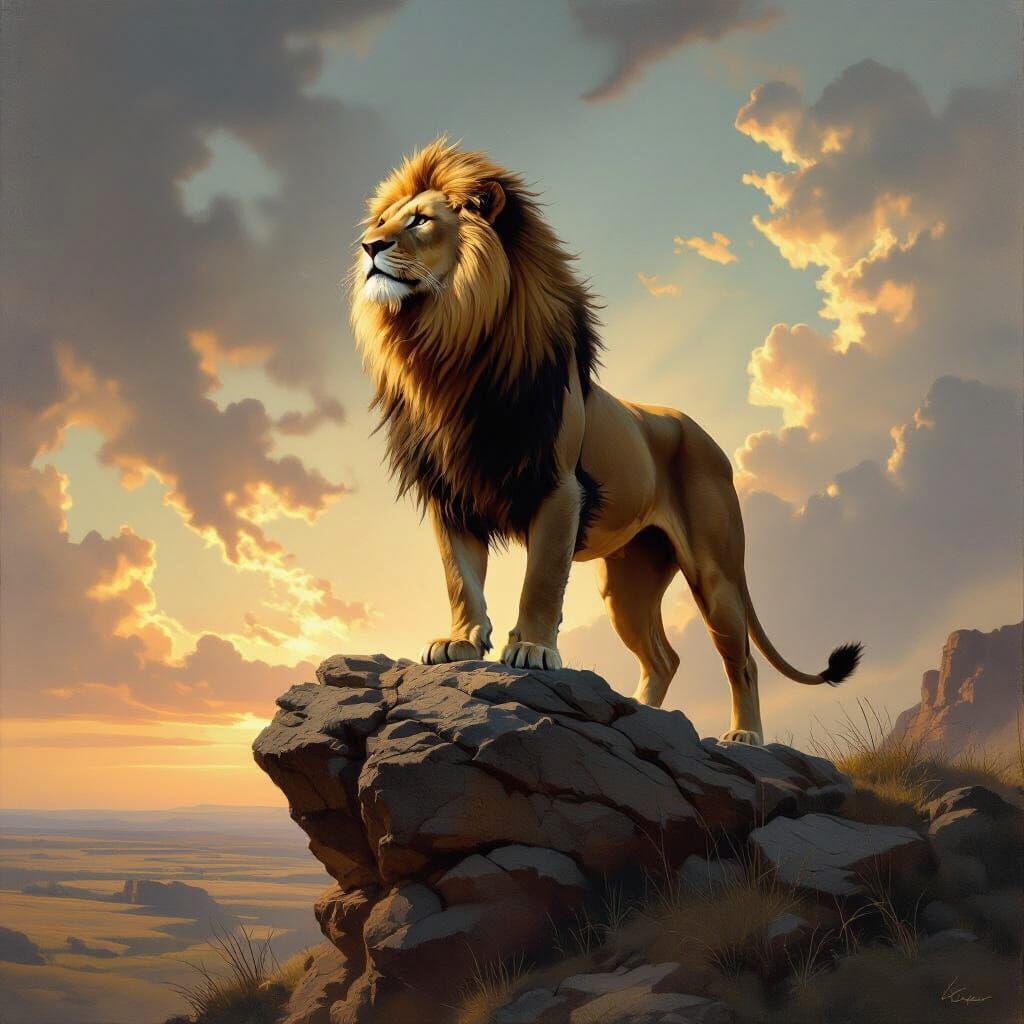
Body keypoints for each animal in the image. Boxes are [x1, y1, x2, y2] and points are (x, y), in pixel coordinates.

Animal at [350, 139, 861, 744]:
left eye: (421, 220)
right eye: (382, 221)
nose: (368, 246)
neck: (447, 349)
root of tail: (705, 434)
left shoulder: (559, 487)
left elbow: (542, 579)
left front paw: (532, 648)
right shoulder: (452, 493)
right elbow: (461, 578)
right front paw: (460, 640)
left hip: (716, 573)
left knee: (742, 660)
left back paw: (744, 736)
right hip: (629, 583)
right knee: (664, 658)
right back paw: (643, 715)